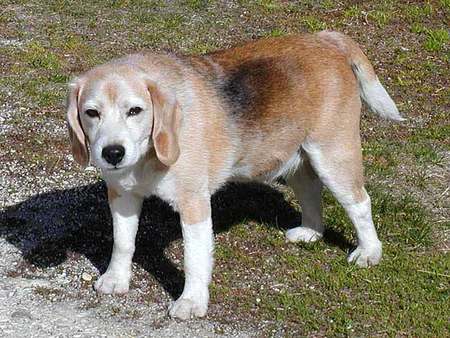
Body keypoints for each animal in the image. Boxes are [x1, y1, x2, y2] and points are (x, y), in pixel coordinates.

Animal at [65, 31, 402, 320]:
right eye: (92, 113)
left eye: (135, 111)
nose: (112, 153)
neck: (147, 155)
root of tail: (325, 39)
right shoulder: (122, 197)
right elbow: (123, 243)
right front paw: (116, 278)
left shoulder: (194, 205)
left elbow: (194, 259)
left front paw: (191, 302)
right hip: (296, 158)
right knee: (310, 191)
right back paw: (311, 232)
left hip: (333, 157)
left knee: (360, 204)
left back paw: (369, 252)